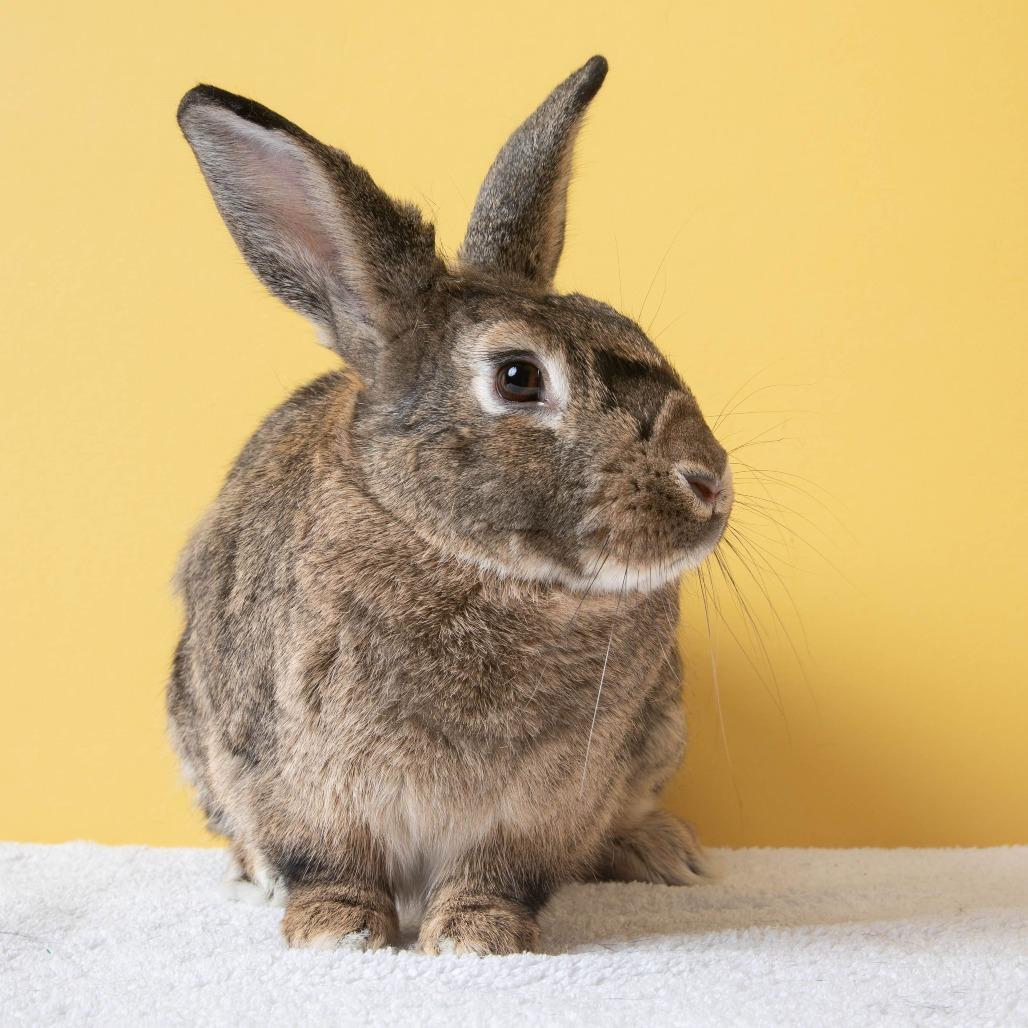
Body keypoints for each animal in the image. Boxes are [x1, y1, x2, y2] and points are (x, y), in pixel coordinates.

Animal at [169, 54, 733, 956]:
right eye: (518, 377)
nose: (709, 478)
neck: (476, 565)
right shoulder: (293, 772)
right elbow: (327, 861)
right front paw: (338, 932)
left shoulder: (544, 804)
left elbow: (497, 873)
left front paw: (479, 936)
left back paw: (662, 850)